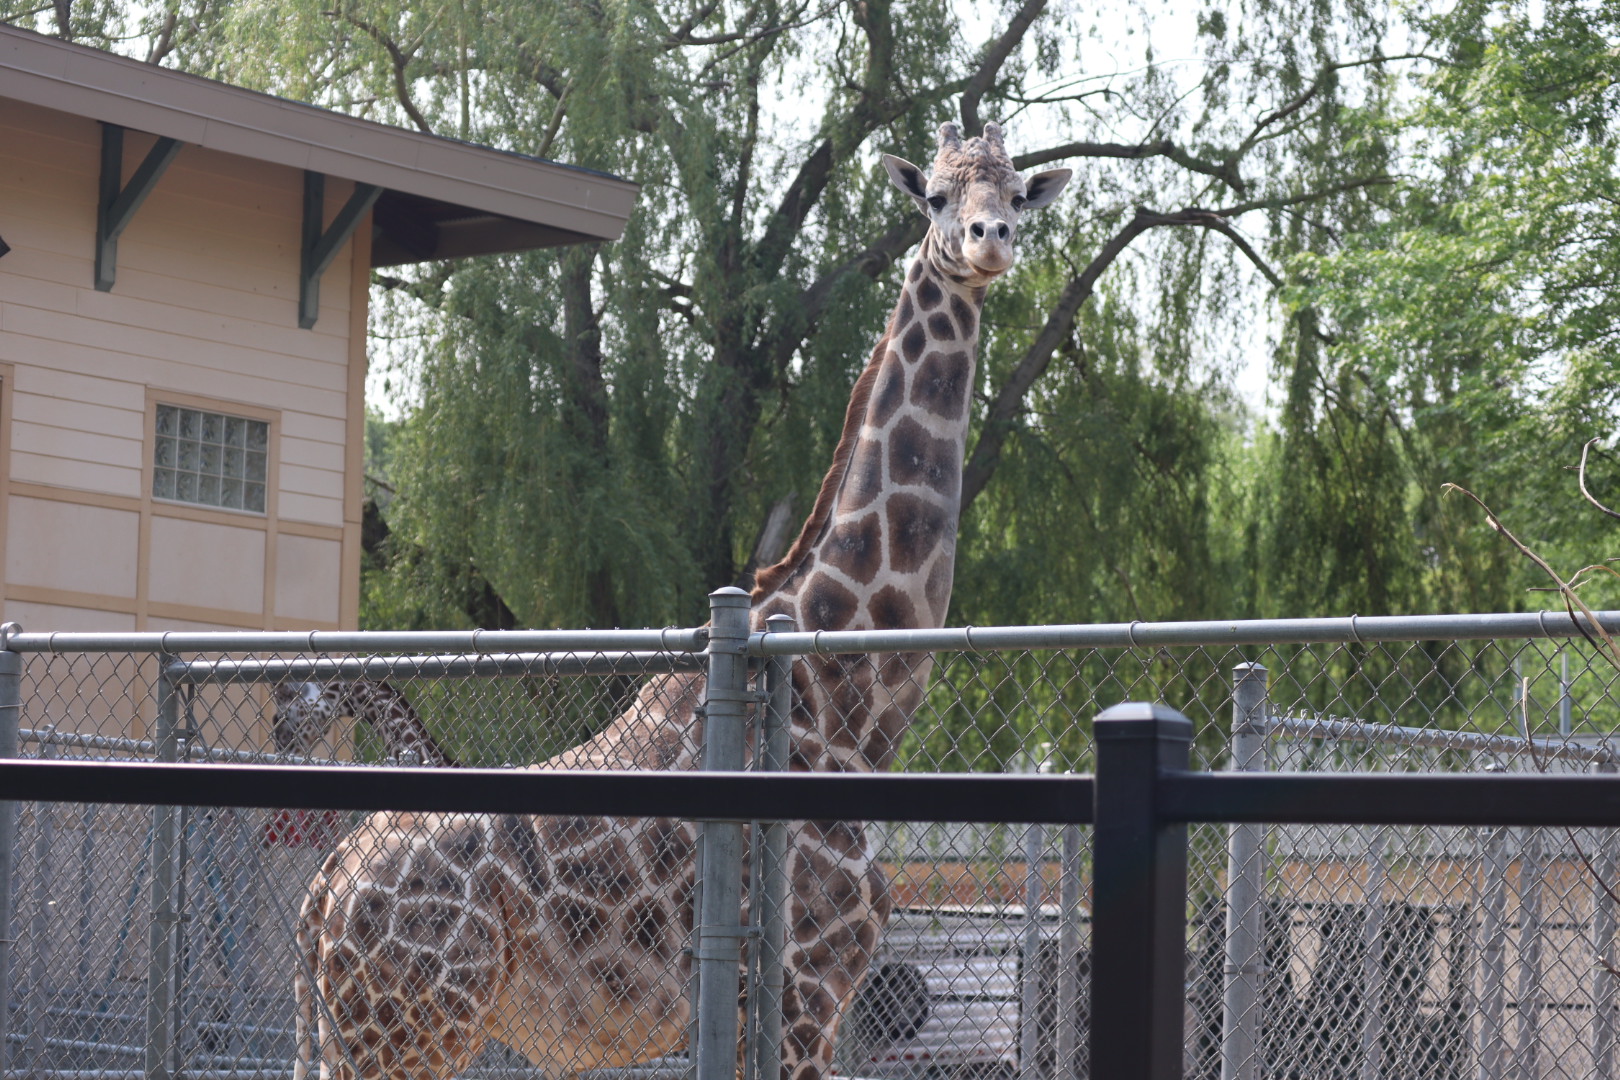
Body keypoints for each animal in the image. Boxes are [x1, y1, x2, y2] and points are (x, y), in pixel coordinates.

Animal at [293, 121, 1070, 1080]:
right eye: (933, 195)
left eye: (1015, 190)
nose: (989, 241)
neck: (852, 712)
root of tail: (324, 890)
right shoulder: (804, 985)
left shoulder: (779, 1000)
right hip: (411, 1032)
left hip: (358, 1032)